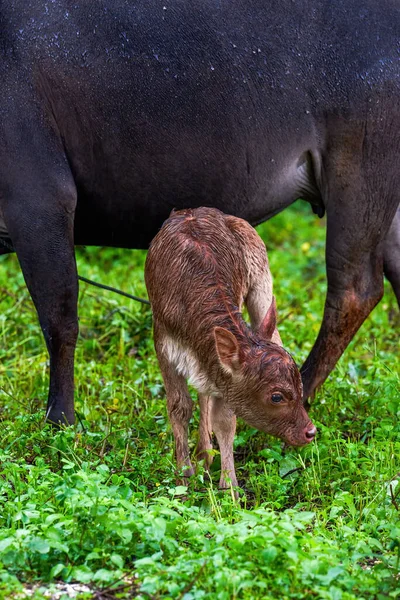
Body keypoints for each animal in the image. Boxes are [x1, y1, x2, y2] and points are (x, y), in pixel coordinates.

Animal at [0, 0, 398, 422]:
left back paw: (296, 392)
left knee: (354, 288)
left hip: (359, 172)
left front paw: (60, 418)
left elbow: (59, 318)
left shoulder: (41, 201)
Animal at [144, 206, 316, 488]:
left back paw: (205, 453)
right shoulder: (163, 341)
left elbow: (225, 420)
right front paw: (184, 475)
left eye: (300, 386)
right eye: (276, 396)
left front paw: (229, 487)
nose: (310, 431)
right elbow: (179, 406)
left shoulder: (226, 375)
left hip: (262, 282)